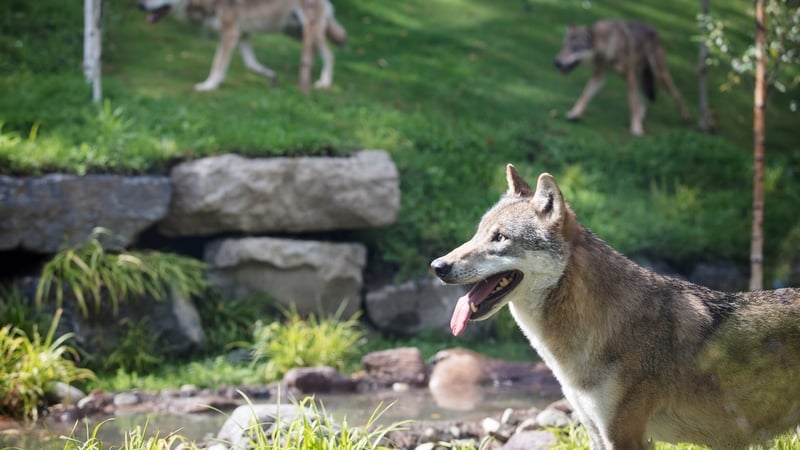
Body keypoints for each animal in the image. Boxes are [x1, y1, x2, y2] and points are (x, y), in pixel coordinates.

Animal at [138, 0, 347, 92]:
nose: (140, 5)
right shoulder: (242, 35)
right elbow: (251, 65)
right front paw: (271, 77)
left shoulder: (229, 33)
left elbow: (217, 65)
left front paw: (209, 85)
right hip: (297, 32)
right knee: (315, 53)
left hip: (309, 31)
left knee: (330, 55)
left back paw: (323, 83)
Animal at [554, 20, 690, 136]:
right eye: (564, 46)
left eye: (575, 48)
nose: (556, 62)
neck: (608, 45)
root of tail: (653, 29)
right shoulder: (598, 77)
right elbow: (584, 96)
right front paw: (574, 114)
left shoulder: (628, 75)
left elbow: (632, 103)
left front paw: (636, 129)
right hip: (638, 78)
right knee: (642, 101)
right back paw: (640, 116)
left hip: (659, 76)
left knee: (677, 93)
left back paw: (685, 117)